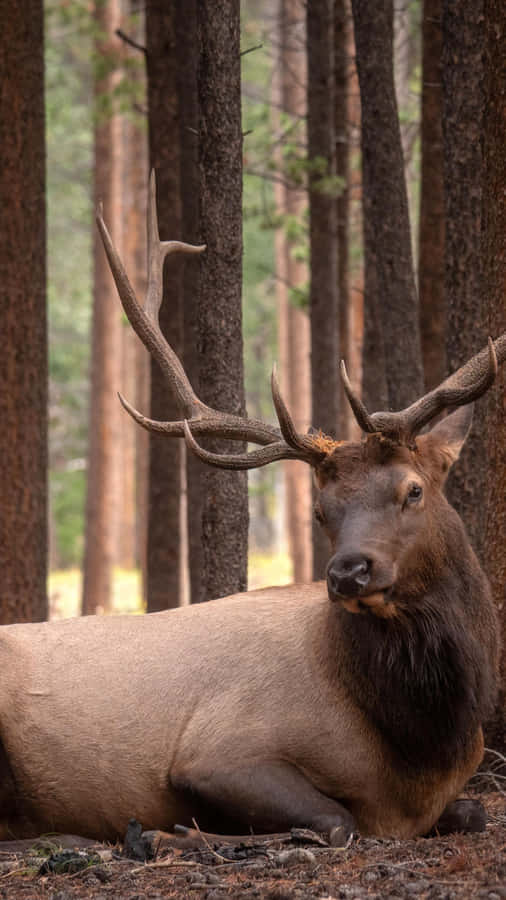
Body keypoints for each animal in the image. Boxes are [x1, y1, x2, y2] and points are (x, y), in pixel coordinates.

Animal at [0, 172, 503, 849]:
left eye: (413, 490)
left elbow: (474, 811)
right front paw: (174, 834)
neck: (422, 751)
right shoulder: (218, 751)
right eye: (320, 510)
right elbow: (337, 821)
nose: (349, 572)